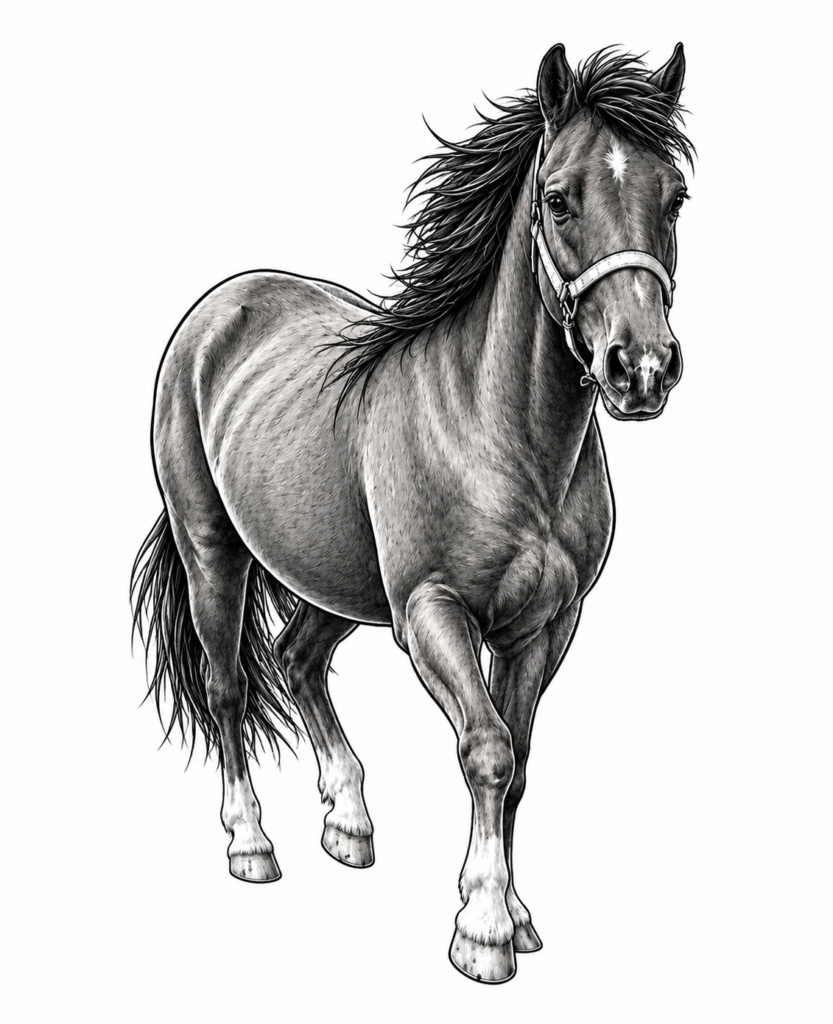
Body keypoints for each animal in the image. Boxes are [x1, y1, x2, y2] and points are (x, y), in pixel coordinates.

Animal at [131, 43, 693, 984]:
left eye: (674, 195)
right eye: (558, 197)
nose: (640, 368)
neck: (499, 434)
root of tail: (221, 307)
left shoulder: (546, 625)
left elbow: (521, 758)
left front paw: (516, 913)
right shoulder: (432, 612)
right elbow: (487, 750)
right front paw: (483, 929)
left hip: (334, 578)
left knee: (297, 660)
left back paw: (349, 823)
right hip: (214, 551)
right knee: (229, 683)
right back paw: (251, 846)